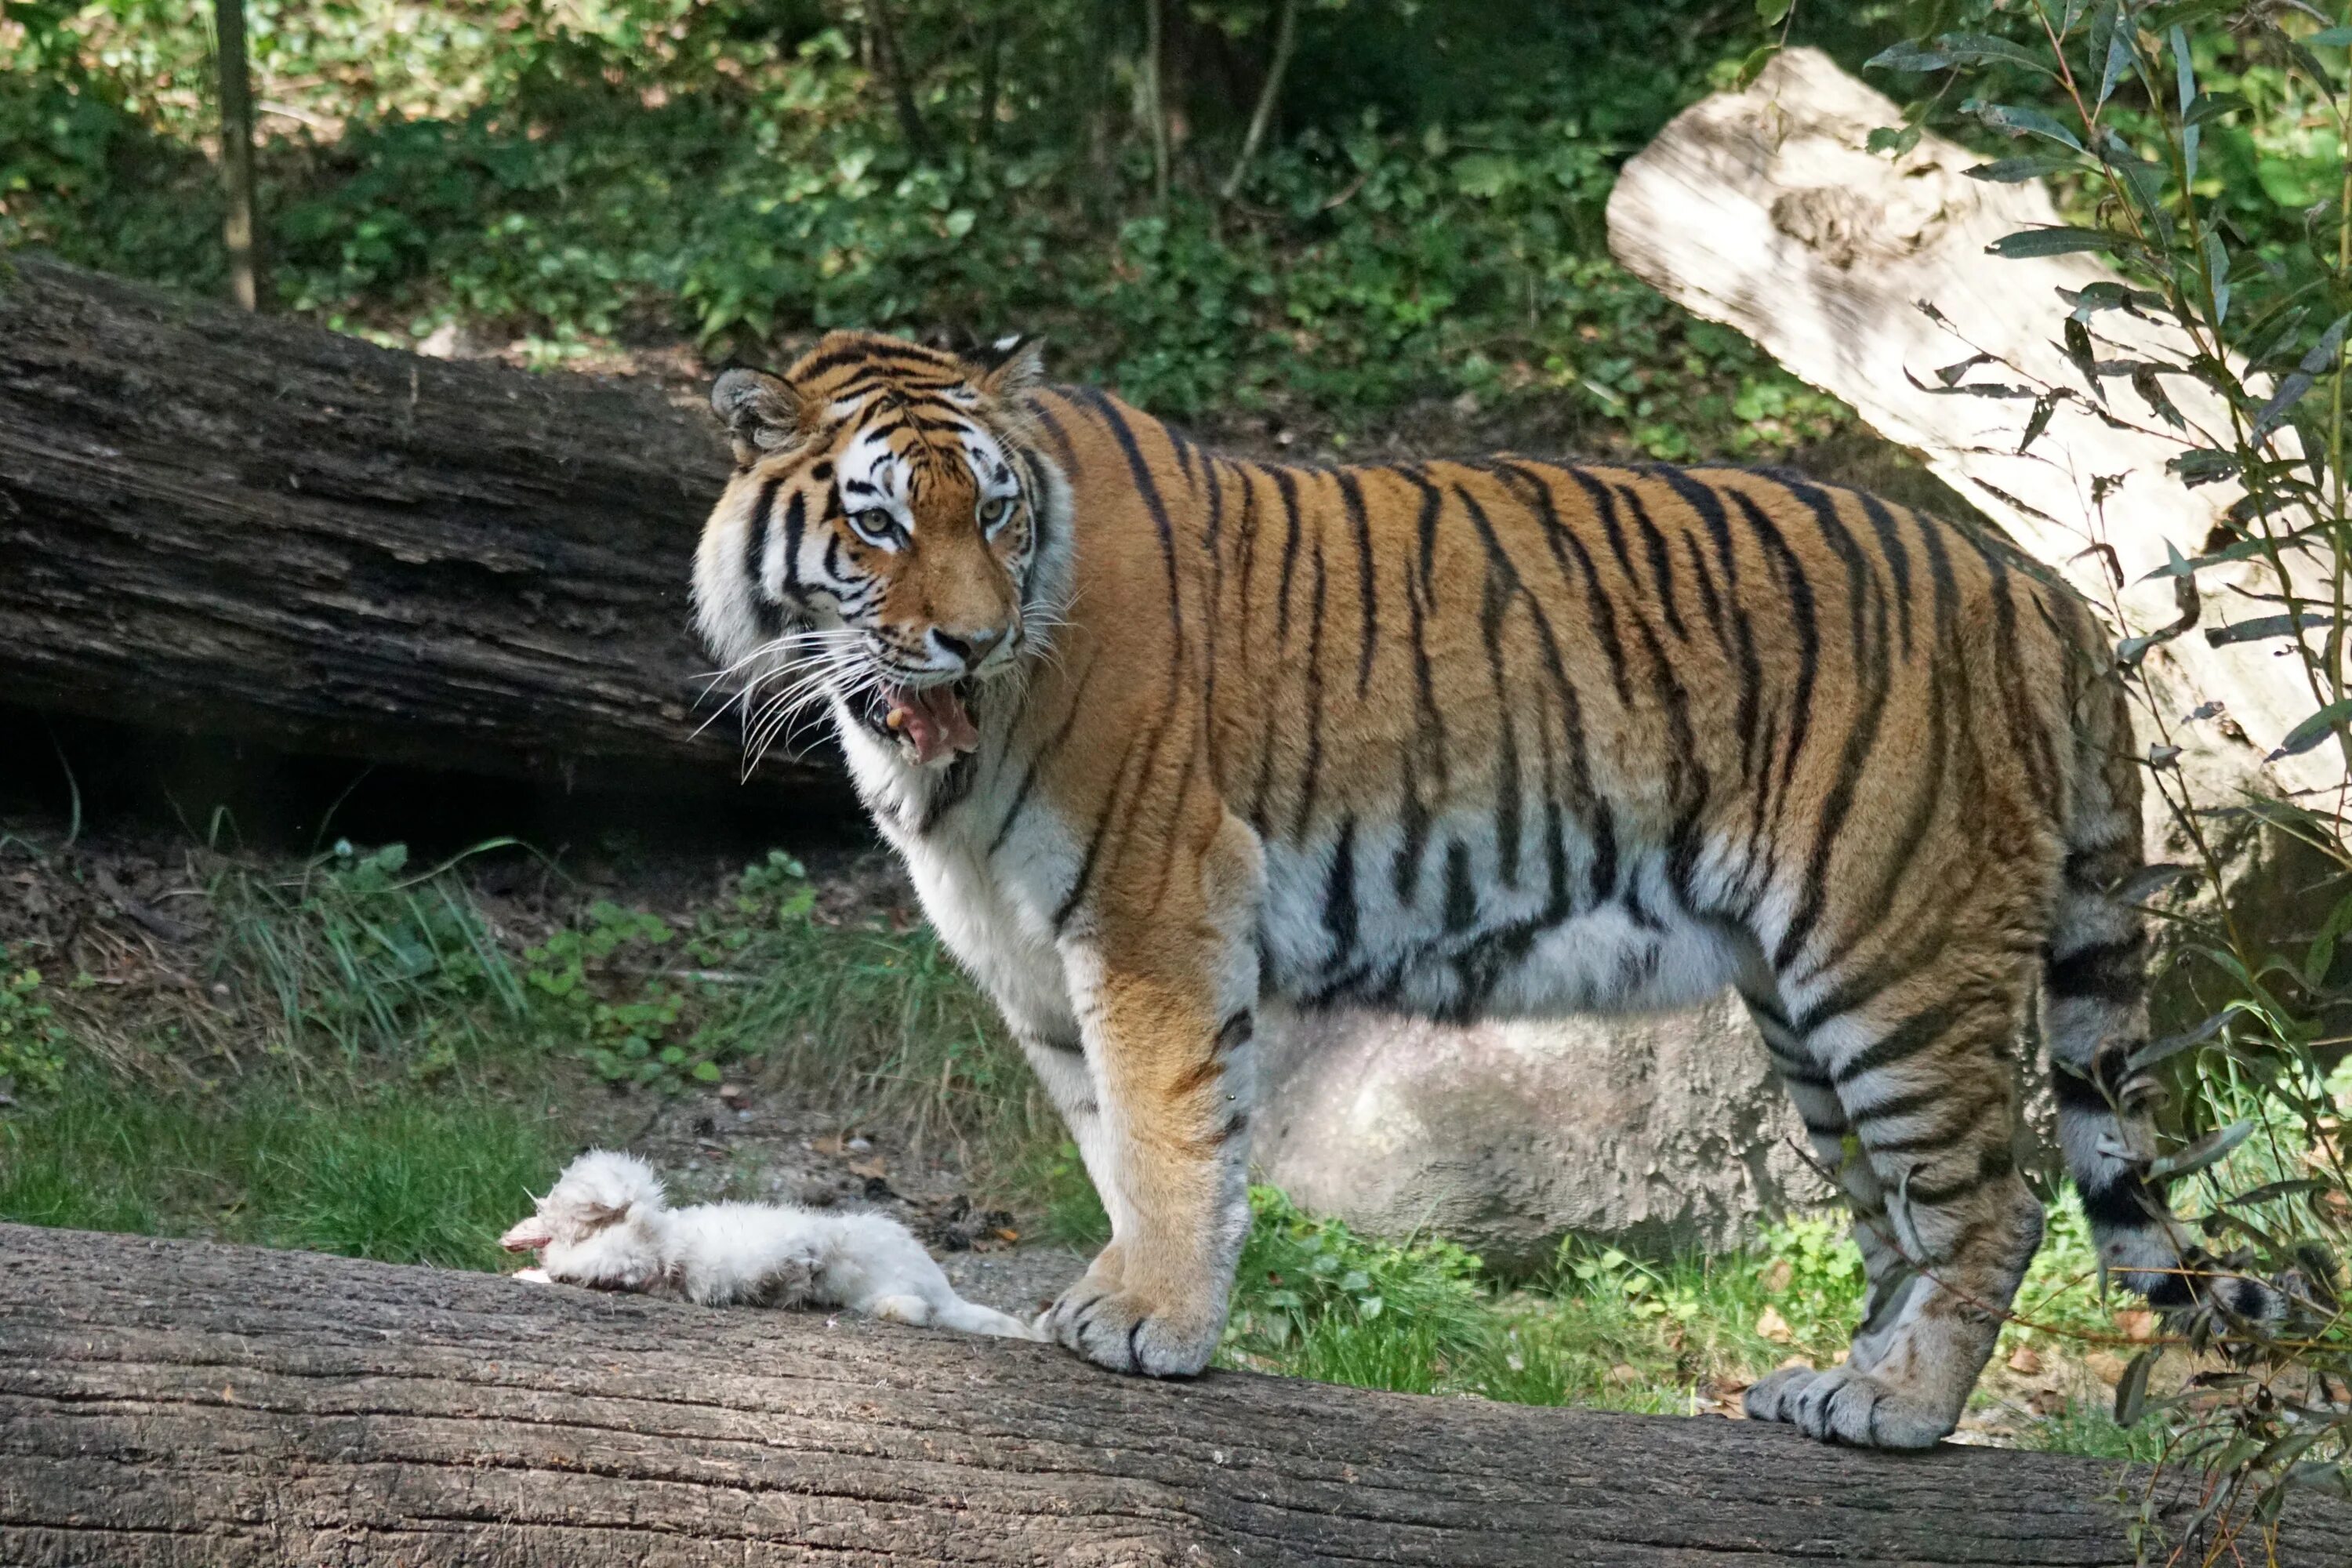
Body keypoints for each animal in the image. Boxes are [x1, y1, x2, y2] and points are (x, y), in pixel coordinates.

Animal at [687, 328, 2277, 1448]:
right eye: (884, 525)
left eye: (998, 516)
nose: (970, 639)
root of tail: (2046, 594)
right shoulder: (1035, 950)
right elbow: (1110, 1138)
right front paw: (1125, 1296)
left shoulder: (1154, 904)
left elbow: (1171, 1131)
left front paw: (1151, 1320)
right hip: (1803, 1003)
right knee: (1899, 1218)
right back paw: (1837, 1388)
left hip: (1896, 956)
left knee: (1992, 1206)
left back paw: (1902, 1411)